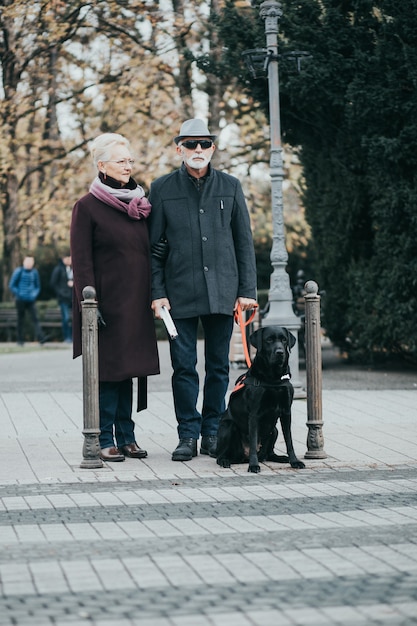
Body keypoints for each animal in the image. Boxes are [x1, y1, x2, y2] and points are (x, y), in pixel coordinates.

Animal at [216, 324, 304, 470]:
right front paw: (253, 465)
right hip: (228, 427)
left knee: (269, 453)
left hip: (274, 430)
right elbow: (253, 441)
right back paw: (225, 460)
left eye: (284, 340)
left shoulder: (286, 412)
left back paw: (280, 458)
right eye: (269, 340)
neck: (274, 379)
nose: (280, 352)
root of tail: (243, 457)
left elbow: (289, 440)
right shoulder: (254, 414)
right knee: (221, 455)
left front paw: (294, 461)